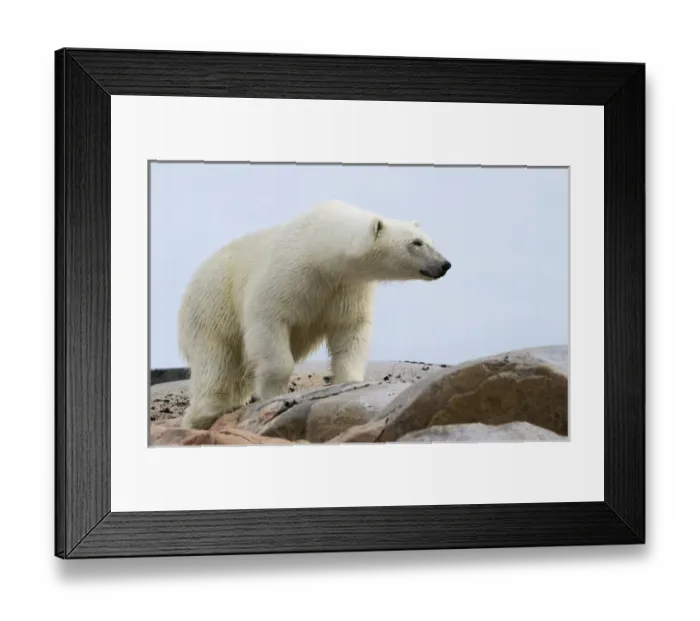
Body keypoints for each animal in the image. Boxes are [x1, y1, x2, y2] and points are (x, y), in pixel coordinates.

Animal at [177, 199, 452, 430]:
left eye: (429, 240)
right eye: (416, 243)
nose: (445, 264)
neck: (319, 251)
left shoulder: (347, 288)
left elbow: (350, 331)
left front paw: (349, 380)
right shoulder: (286, 277)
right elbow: (270, 323)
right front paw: (275, 395)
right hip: (212, 306)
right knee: (216, 360)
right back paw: (204, 413)